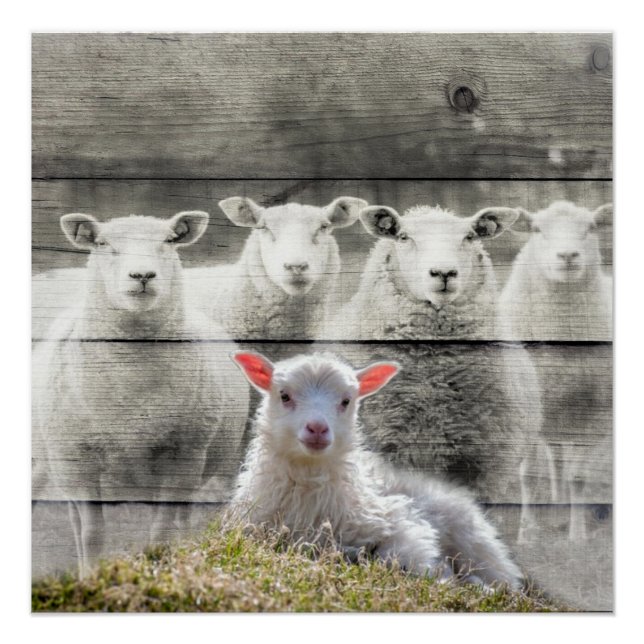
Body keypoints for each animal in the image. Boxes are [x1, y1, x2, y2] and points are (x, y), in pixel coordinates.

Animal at [32, 211, 250, 576]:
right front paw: (92, 575)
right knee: (76, 522)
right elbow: (92, 532)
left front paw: (159, 568)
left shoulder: (183, 456)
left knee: (183, 517)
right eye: (102, 243)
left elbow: (160, 529)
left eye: (169, 241)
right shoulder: (79, 461)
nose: (143, 275)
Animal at [229, 351, 522, 589]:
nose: (317, 428)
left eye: (346, 401)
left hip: (475, 543)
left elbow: (400, 556)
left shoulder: (401, 522)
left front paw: (443, 577)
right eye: (285, 396)